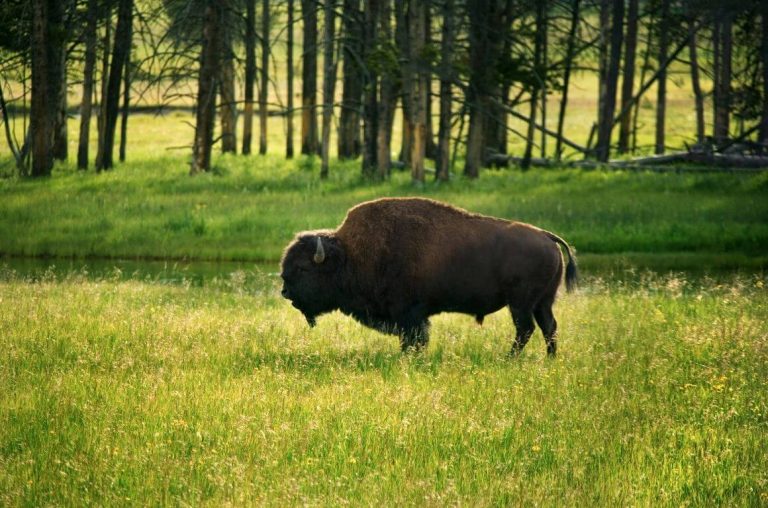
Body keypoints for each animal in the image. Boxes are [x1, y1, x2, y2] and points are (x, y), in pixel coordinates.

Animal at [278, 196, 576, 356]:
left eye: (302, 268)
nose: (285, 292)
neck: (350, 255)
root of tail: (547, 237)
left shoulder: (409, 314)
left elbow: (414, 338)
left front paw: (409, 356)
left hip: (521, 304)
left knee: (525, 329)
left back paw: (509, 358)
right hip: (543, 302)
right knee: (549, 327)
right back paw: (549, 360)